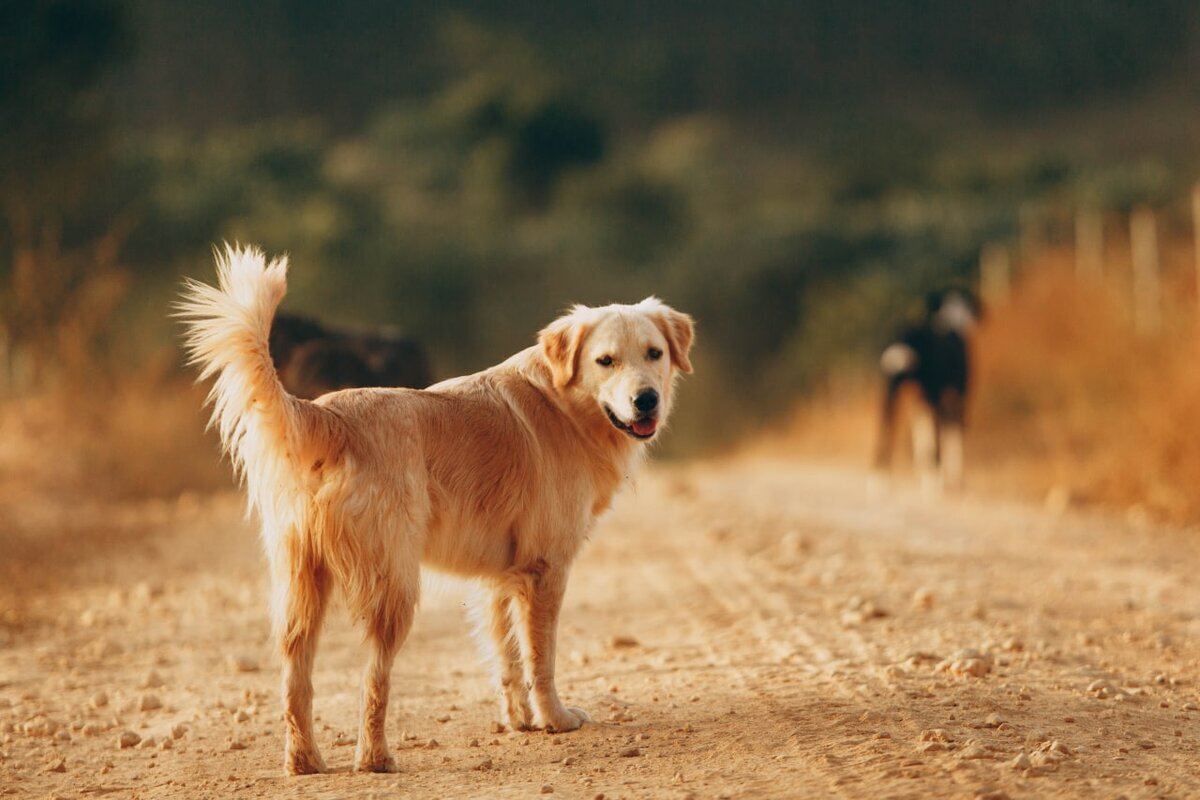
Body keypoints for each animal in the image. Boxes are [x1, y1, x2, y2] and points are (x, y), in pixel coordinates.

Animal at [176, 245, 696, 777]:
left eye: (654, 353)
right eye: (605, 361)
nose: (646, 400)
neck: (564, 403)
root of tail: (329, 414)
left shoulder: (501, 578)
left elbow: (508, 658)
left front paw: (520, 720)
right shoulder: (545, 570)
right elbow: (541, 657)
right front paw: (555, 719)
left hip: (302, 583)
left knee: (295, 676)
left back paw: (305, 761)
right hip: (395, 587)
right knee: (373, 679)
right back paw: (375, 758)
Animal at [878, 284, 979, 491]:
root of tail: (906, 338)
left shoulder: (919, 402)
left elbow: (922, 438)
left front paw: (923, 472)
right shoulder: (957, 396)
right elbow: (953, 434)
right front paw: (956, 480)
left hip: (891, 393)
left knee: (885, 430)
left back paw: (880, 482)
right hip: (934, 397)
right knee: (940, 436)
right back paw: (935, 484)